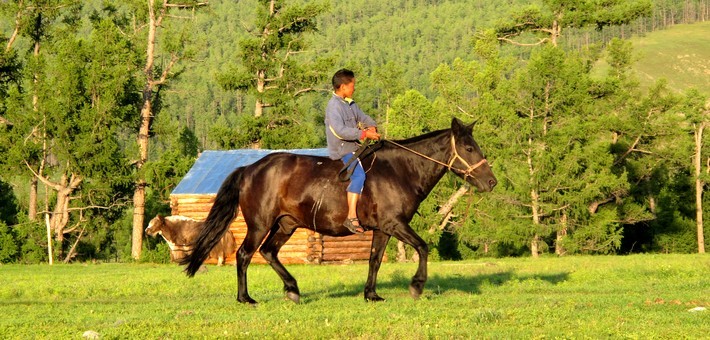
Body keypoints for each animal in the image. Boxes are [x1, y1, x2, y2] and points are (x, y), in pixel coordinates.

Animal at [181, 118, 498, 304]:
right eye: (469, 148)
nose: (492, 182)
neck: (399, 171)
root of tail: (249, 169)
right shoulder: (395, 224)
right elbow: (422, 247)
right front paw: (417, 286)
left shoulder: (383, 229)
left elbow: (374, 260)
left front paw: (371, 294)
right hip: (260, 225)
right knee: (245, 255)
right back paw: (245, 298)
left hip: (286, 224)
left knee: (269, 253)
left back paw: (292, 289)